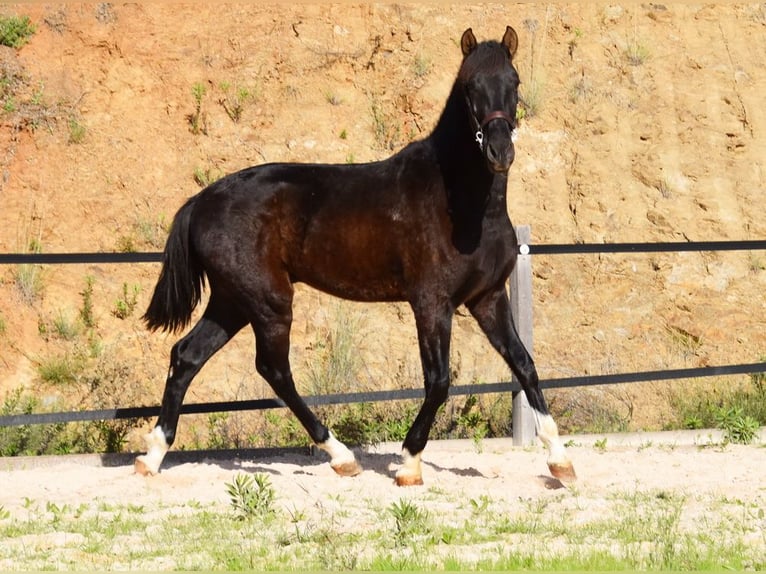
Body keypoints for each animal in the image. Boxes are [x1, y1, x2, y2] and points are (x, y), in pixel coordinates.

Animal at [136, 25, 576, 486]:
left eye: (514, 82)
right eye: (470, 85)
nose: (499, 152)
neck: (464, 206)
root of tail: (200, 201)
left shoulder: (488, 298)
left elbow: (525, 365)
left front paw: (561, 462)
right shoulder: (431, 303)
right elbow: (439, 381)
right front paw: (409, 462)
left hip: (232, 301)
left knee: (187, 356)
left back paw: (153, 456)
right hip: (268, 302)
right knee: (274, 370)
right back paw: (341, 455)